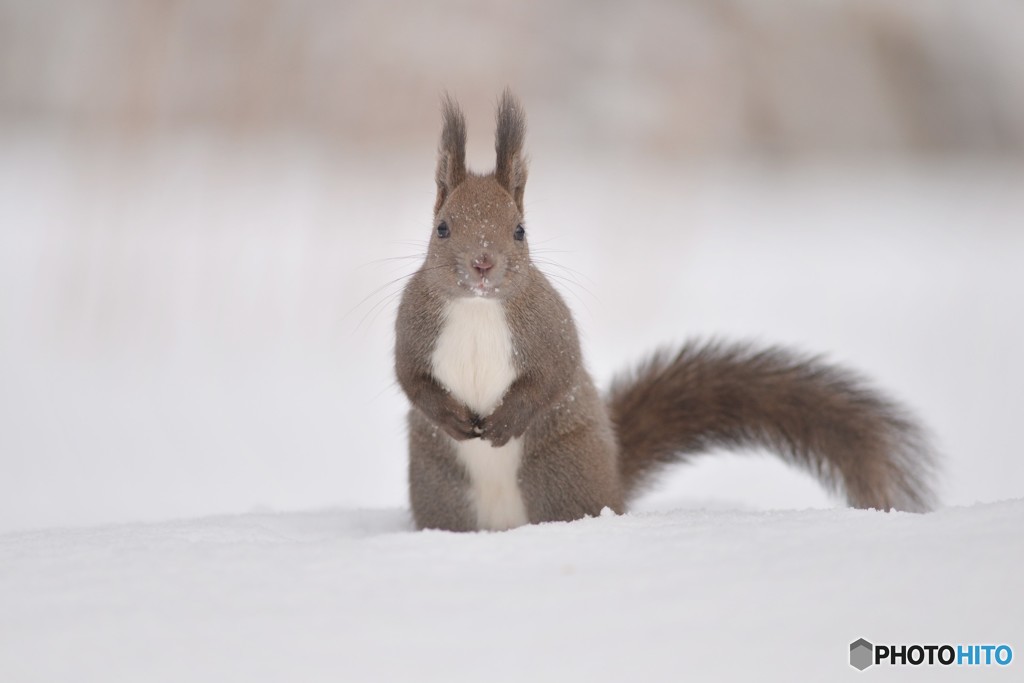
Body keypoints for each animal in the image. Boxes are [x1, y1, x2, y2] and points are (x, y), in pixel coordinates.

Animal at [393, 90, 937, 532]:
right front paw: (452, 418)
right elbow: (411, 378)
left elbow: (553, 375)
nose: (483, 264)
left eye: (520, 230)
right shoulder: (412, 326)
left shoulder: (549, 326)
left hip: (561, 473)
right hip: (443, 490)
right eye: (442, 228)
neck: (477, 307)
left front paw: (506, 421)